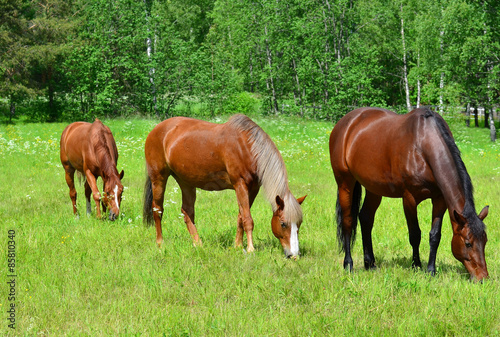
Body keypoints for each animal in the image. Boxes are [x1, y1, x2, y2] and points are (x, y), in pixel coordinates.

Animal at [141, 114, 304, 256]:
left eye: (299, 223)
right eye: (283, 223)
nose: (294, 255)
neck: (247, 148)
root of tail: (156, 129)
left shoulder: (253, 188)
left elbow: (240, 217)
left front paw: (238, 246)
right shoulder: (240, 184)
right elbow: (247, 219)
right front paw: (250, 249)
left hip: (186, 181)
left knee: (187, 211)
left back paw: (198, 244)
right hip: (158, 177)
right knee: (157, 210)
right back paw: (160, 244)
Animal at [328, 106, 488, 280]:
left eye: (485, 241)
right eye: (468, 243)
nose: (483, 278)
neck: (423, 146)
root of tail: (346, 122)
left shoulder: (440, 199)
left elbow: (435, 235)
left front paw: (431, 270)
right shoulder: (409, 199)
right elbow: (415, 234)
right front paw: (416, 266)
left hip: (373, 188)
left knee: (365, 218)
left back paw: (370, 263)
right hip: (345, 183)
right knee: (348, 221)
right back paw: (348, 264)